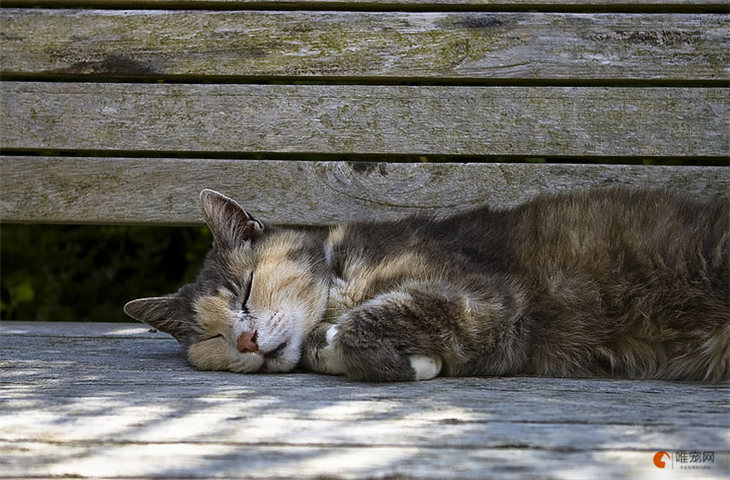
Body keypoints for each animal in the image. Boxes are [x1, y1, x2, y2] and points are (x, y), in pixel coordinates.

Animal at [122, 187, 724, 382]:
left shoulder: (493, 303)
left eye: (246, 289)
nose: (245, 340)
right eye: (212, 338)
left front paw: (411, 364)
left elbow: (362, 329)